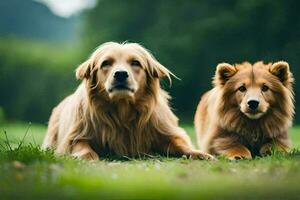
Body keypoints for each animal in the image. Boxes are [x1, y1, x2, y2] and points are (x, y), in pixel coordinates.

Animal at [42, 42, 212, 161]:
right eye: (105, 63)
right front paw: (87, 156)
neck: (122, 111)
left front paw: (199, 153)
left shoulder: (164, 132)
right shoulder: (77, 134)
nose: (121, 74)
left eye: (136, 63)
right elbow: (81, 146)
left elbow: (180, 144)